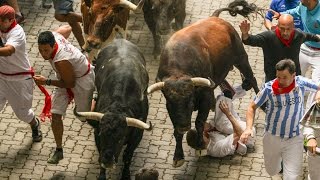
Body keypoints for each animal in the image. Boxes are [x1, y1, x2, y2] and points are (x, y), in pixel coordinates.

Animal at [74, 38, 152, 179]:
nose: (107, 161)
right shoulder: (97, 133)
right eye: (102, 134)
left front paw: (126, 175)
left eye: (121, 137)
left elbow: (127, 156)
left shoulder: (137, 135)